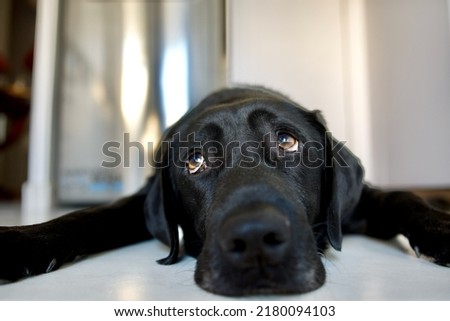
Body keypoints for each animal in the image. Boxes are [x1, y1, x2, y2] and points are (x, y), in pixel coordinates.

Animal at [0, 87, 450, 296]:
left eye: (287, 141)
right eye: (195, 160)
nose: (255, 240)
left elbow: (403, 197)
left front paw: (440, 230)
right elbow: (86, 216)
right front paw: (22, 241)